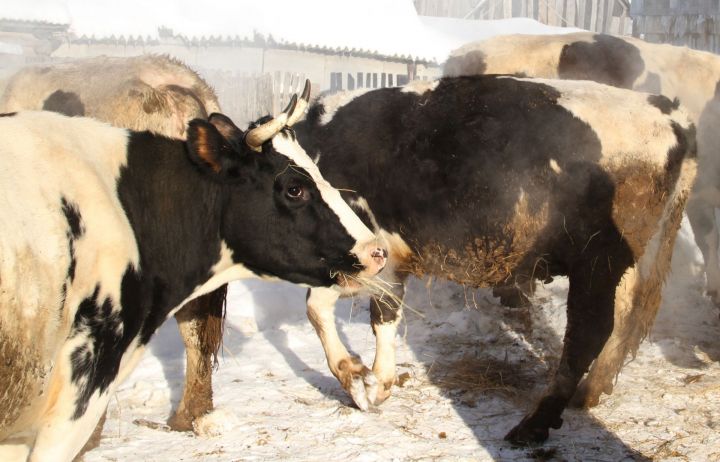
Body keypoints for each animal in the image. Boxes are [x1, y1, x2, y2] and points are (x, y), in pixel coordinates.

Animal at [292, 75, 696, 444]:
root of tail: (668, 111)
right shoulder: (387, 263)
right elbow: (384, 316)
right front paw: (379, 383)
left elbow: (316, 307)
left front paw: (354, 379)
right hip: (627, 262)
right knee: (626, 317)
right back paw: (590, 391)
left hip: (597, 261)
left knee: (589, 331)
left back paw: (536, 422)